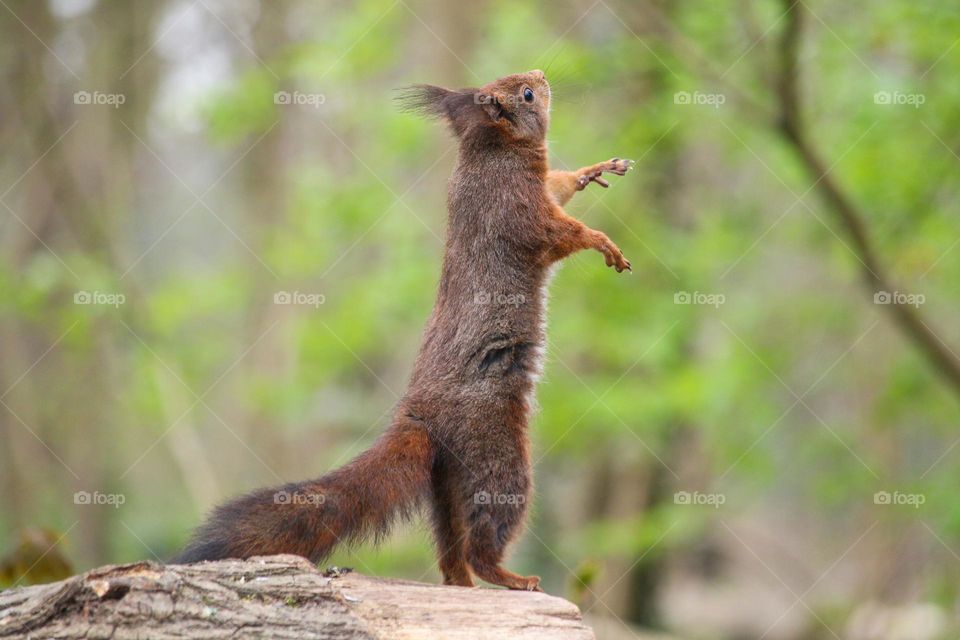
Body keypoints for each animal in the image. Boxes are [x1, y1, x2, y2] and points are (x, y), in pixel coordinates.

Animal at [175, 69, 632, 592]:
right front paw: (603, 242)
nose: (541, 74)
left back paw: (465, 585)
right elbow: (560, 232)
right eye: (527, 94)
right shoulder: (518, 209)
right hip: (497, 459)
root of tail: (422, 415)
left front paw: (594, 170)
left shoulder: (538, 190)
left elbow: (558, 186)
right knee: (480, 541)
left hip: (447, 479)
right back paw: (510, 578)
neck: (490, 152)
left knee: (451, 548)